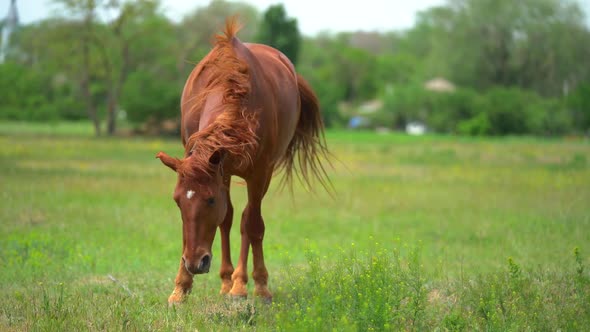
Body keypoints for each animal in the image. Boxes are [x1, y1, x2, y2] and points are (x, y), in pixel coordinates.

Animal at [157, 19, 330, 304]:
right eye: (177, 201)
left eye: (210, 200)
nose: (195, 262)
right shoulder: (218, 171)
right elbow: (218, 220)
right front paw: (181, 287)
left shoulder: (258, 174)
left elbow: (252, 225)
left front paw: (255, 286)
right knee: (230, 219)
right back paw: (227, 280)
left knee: (249, 220)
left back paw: (241, 283)